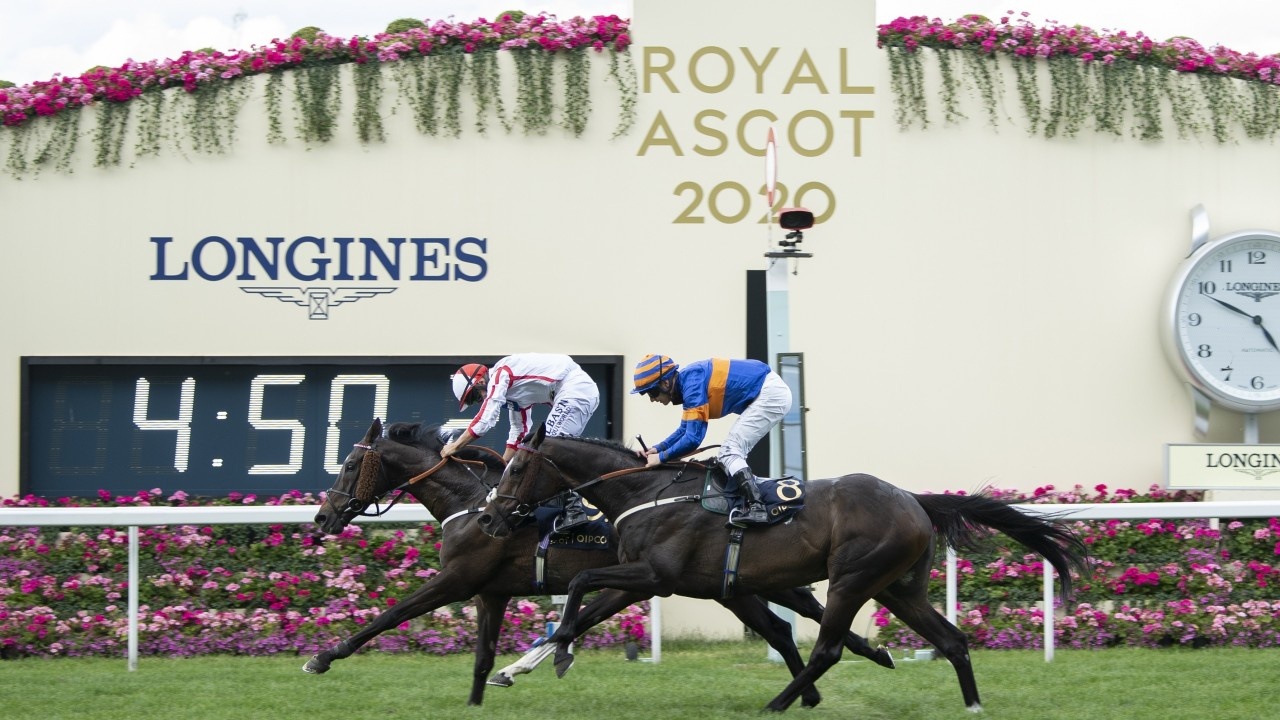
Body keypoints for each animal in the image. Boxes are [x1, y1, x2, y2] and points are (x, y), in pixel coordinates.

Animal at [307, 417, 890, 702]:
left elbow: (391, 614)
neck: (471, 503)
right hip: (733, 586)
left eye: (350, 463)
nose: (323, 516)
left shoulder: (457, 578)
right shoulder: (492, 590)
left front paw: (322, 657)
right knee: (787, 623)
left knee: (797, 619)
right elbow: (482, 655)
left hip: (734, 584)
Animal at [481, 422, 1090, 707]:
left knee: (827, 647)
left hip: (854, 577)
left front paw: (559, 656)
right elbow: (581, 609)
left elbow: (580, 585)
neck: (647, 491)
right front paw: (516, 668)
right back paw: (971, 707)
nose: (490, 517)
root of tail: (913, 499)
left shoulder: (657, 576)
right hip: (898, 588)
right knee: (952, 640)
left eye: (516, 469)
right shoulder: (649, 580)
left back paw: (778, 702)